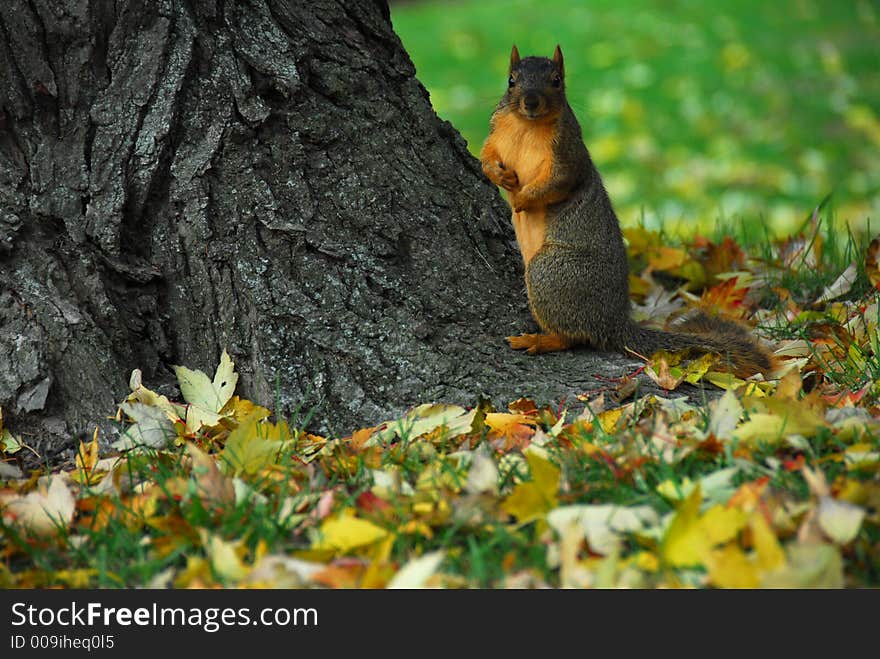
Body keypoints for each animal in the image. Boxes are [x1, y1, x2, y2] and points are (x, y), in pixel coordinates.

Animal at [478, 45, 772, 376]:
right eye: (511, 81)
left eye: (556, 80)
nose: (530, 101)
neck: (526, 126)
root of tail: (614, 324)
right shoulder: (496, 134)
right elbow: (486, 157)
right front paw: (500, 177)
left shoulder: (568, 156)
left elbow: (555, 184)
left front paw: (520, 201)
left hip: (550, 271)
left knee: (574, 336)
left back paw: (541, 340)